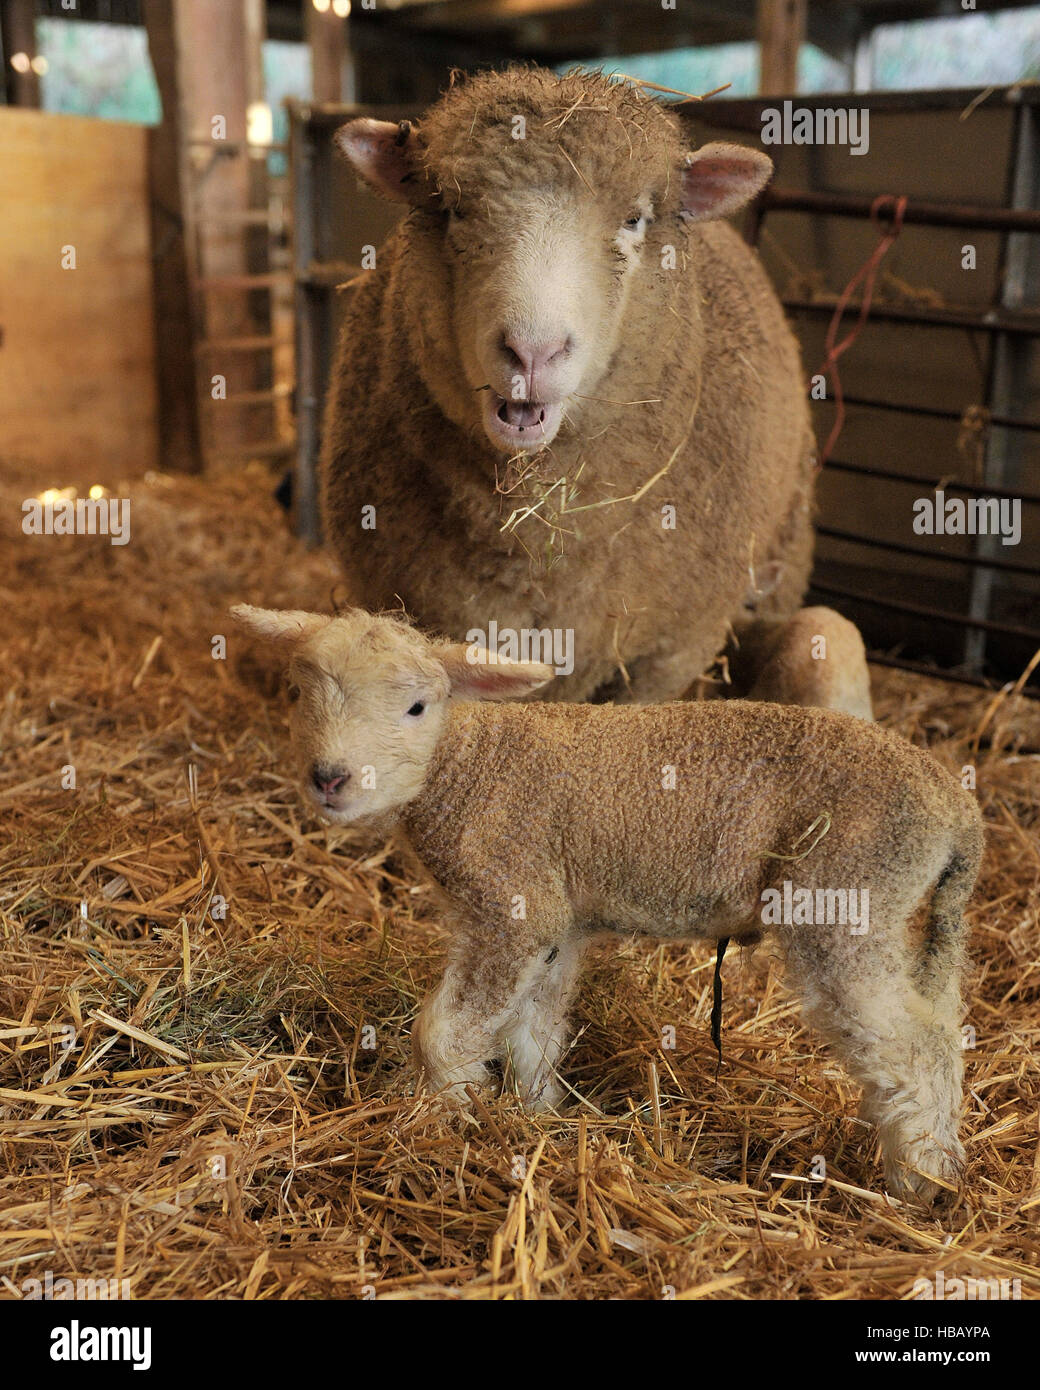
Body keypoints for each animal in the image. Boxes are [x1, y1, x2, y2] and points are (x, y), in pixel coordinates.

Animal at [233, 603, 984, 1200]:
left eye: (417, 707)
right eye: (299, 694)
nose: (329, 779)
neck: (467, 764)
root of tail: (957, 810)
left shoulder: (513, 904)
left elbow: (443, 1031)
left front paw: (439, 1121)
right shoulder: (556, 923)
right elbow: (533, 1029)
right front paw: (535, 1114)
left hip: (845, 898)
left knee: (915, 1046)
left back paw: (919, 1183)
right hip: (895, 914)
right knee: (942, 1024)